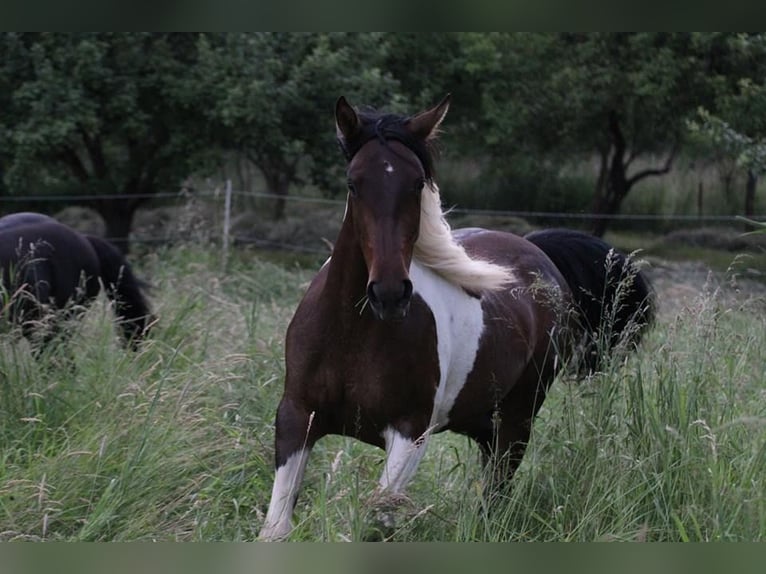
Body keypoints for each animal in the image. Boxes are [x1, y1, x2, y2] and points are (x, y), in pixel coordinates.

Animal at [259, 95, 655, 540]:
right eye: (353, 184)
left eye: (418, 184)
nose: (390, 293)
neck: (351, 335)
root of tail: (537, 251)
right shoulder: (295, 419)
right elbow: (276, 527)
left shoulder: (410, 434)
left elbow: (376, 524)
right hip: (482, 421)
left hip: (517, 419)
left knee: (497, 493)